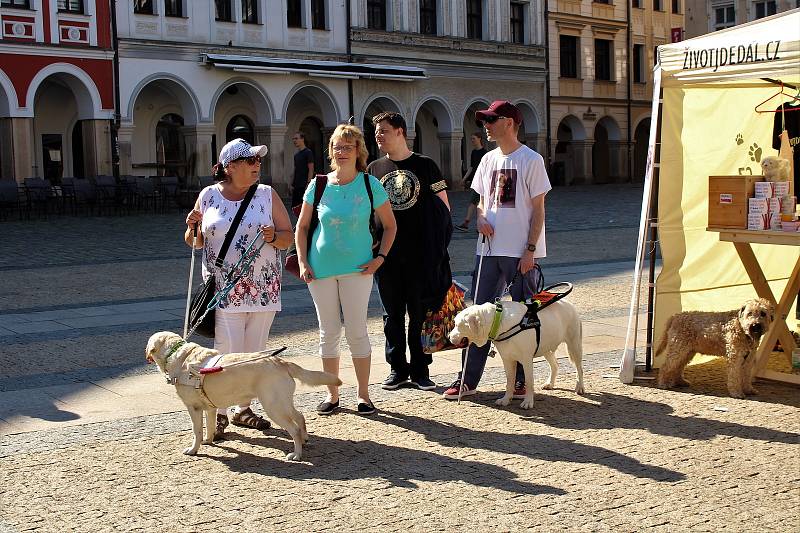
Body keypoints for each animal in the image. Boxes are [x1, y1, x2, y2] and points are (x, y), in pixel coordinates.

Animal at [147, 330, 340, 460]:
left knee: (294, 429)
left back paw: (297, 454)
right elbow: (209, 426)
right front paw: (209, 440)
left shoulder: (193, 408)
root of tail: (280, 361)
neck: (177, 355)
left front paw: (194, 449)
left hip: (273, 407)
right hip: (282, 403)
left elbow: (197, 431)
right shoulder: (210, 408)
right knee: (300, 417)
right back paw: (306, 439)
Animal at [446, 300, 584, 408]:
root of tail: (568, 303)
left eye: (457, 325)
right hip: (546, 348)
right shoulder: (507, 359)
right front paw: (506, 399)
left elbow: (529, 381)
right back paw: (550, 383)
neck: (498, 321)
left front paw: (528, 402)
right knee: (555, 365)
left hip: (574, 345)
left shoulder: (527, 359)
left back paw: (580, 387)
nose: (448, 336)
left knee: (579, 368)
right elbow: (509, 381)